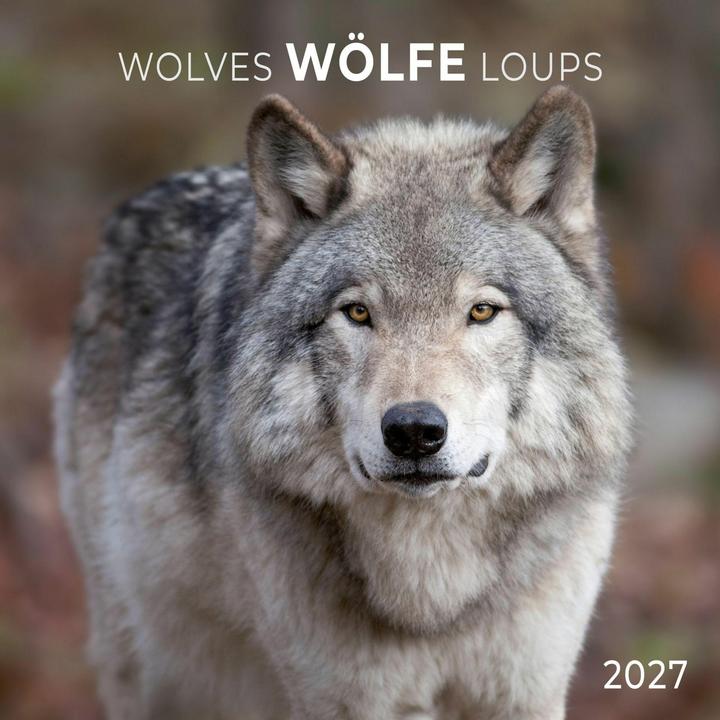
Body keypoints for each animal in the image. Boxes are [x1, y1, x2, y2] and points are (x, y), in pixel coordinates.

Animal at [54, 85, 632, 719]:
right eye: (357, 312)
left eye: (482, 311)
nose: (413, 430)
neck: (429, 596)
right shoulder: (339, 699)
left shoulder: (525, 692)